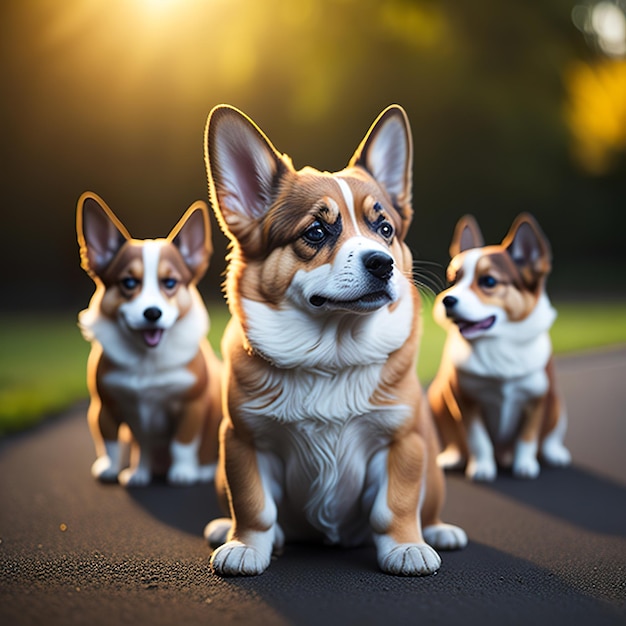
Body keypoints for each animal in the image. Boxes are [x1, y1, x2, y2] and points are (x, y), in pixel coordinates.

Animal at [76, 193, 222, 486]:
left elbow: (182, 443)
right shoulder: (105, 407)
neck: (147, 361)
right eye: (129, 283)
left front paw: (183, 471)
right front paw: (113, 468)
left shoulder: (192, 405)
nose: (152, 313)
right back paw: (138, 472)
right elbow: (111, 442)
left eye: (170, 283)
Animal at [202, 102, 466, 576]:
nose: (383, 264)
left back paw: (437, 531)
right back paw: (225, 528)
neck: (332, 351)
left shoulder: (402, 442)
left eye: (384, 229)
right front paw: (246, 546)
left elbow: (396, 505)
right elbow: (253, 505)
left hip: (433, 474)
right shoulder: (244, 440)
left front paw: (407, 546)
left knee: (427, 506)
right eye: (316, 232)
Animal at [426, 212, 568, 480]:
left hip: (557, 404)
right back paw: (453, 456)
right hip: (437, 397)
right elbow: (477, 439)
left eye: (488, 281)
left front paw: (525, 465)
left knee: (551, 434)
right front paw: (482, 467)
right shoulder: (465, 400)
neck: (498, 343)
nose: (447, 300)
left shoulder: (537, 399)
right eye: (453, 279)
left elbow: (528, 438)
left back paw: (554, 452)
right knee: (454, 438)